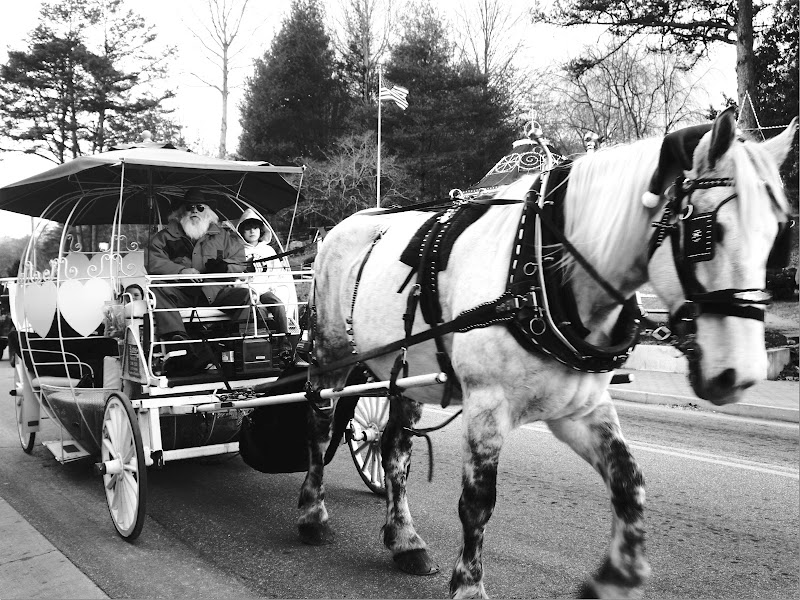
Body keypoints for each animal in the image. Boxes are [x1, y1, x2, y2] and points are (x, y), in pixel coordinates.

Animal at [298, 110, 792, 596]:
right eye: (706, 232)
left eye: (777, 235)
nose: (740, 375)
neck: (541, 273)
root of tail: (341, 227)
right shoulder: (487, 403)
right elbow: (477, 503)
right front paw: (469, 585)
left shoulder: (581, 408)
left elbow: (629, 482)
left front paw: (619, 575)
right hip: (330, 355)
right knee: (320, 429)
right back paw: (312, 515)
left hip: (402, 373)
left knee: (394, 451)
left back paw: (405, 541)